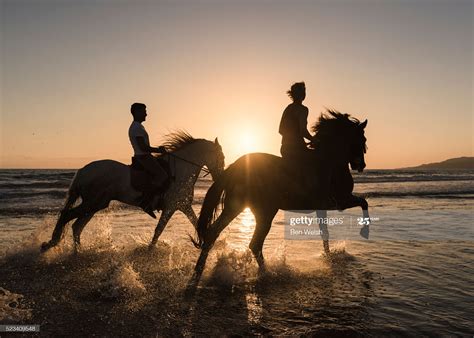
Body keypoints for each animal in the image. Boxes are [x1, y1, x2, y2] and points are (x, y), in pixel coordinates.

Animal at [40, 131, 224, 252]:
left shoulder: (183, 205)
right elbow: (159, 229)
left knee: (76, 226)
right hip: (93, 203)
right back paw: (53, 243)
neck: (181, 170)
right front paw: (150, 249)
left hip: (94, 205)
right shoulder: (173, 206)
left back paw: (77, 252)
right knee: (68, 217)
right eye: (221, 157)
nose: (220, 176)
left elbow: (193, 221)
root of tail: (83, 171)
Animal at [191, 111, 368, 282]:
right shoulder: (340, 201)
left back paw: (198, 273)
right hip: (263, 211)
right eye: (362, 139)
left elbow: (325, 232)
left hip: (237, 207)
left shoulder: (322, 207)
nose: (361, 165)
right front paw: (364, 232)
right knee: (254, 243)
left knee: (214, 234)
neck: (329, 161)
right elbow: (363, 202)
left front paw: (328, 256)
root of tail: (236, 166)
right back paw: (267, 273)